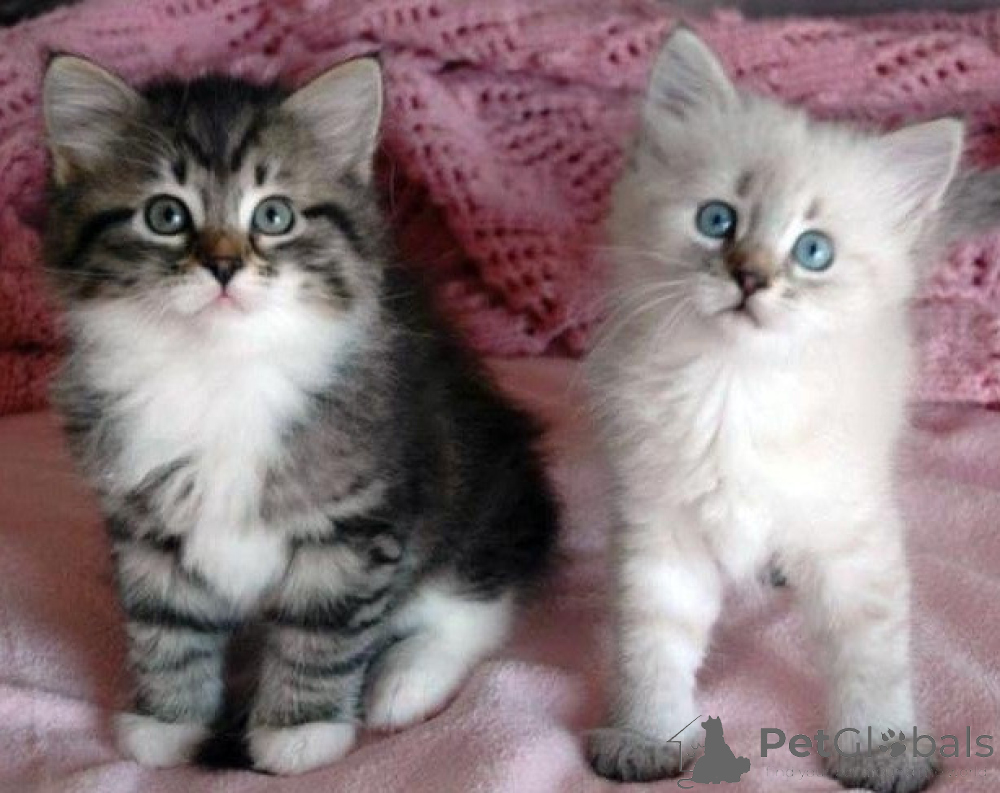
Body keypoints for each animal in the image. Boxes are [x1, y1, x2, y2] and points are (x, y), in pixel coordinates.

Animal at [41, 55, 558, 775]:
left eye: (274, 215)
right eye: (166, 215)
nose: (224, 265)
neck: (218, 370)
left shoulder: (354, 520)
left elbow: (323, 628)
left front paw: (299, 731)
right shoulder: (146, 523)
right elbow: (166, 623)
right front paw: (167, 720)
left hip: (474, 492)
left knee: (476, 601)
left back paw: (406, 678)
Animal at [585, 28, 963, 793]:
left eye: (813, 251)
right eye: (717, 220)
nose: (751, 277)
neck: (734, 390)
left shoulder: (852, 534)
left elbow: (871, 657)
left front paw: (880, 750)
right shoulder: (659, 531)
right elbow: (651, 646)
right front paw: (646, 737)